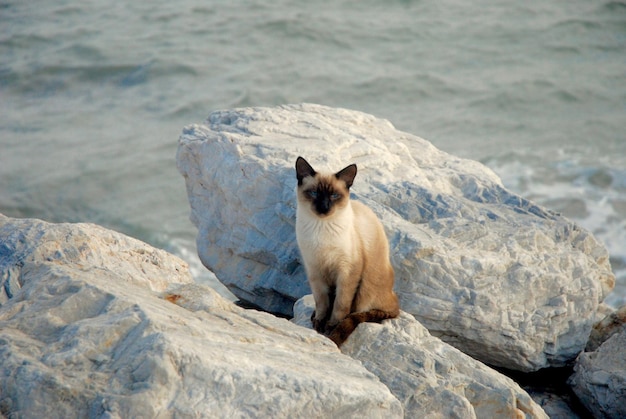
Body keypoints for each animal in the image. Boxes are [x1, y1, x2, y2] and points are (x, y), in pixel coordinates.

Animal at [294, 156, 400, 346]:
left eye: (334, 196)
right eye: (314, 193)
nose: (324, 208)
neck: (321, 228)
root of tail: (394, 299)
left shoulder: (347, 271)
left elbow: (341, 304)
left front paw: (331, 327)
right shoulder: (314, 270)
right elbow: (322, 301)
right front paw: (319, 323)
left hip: (366, 287)